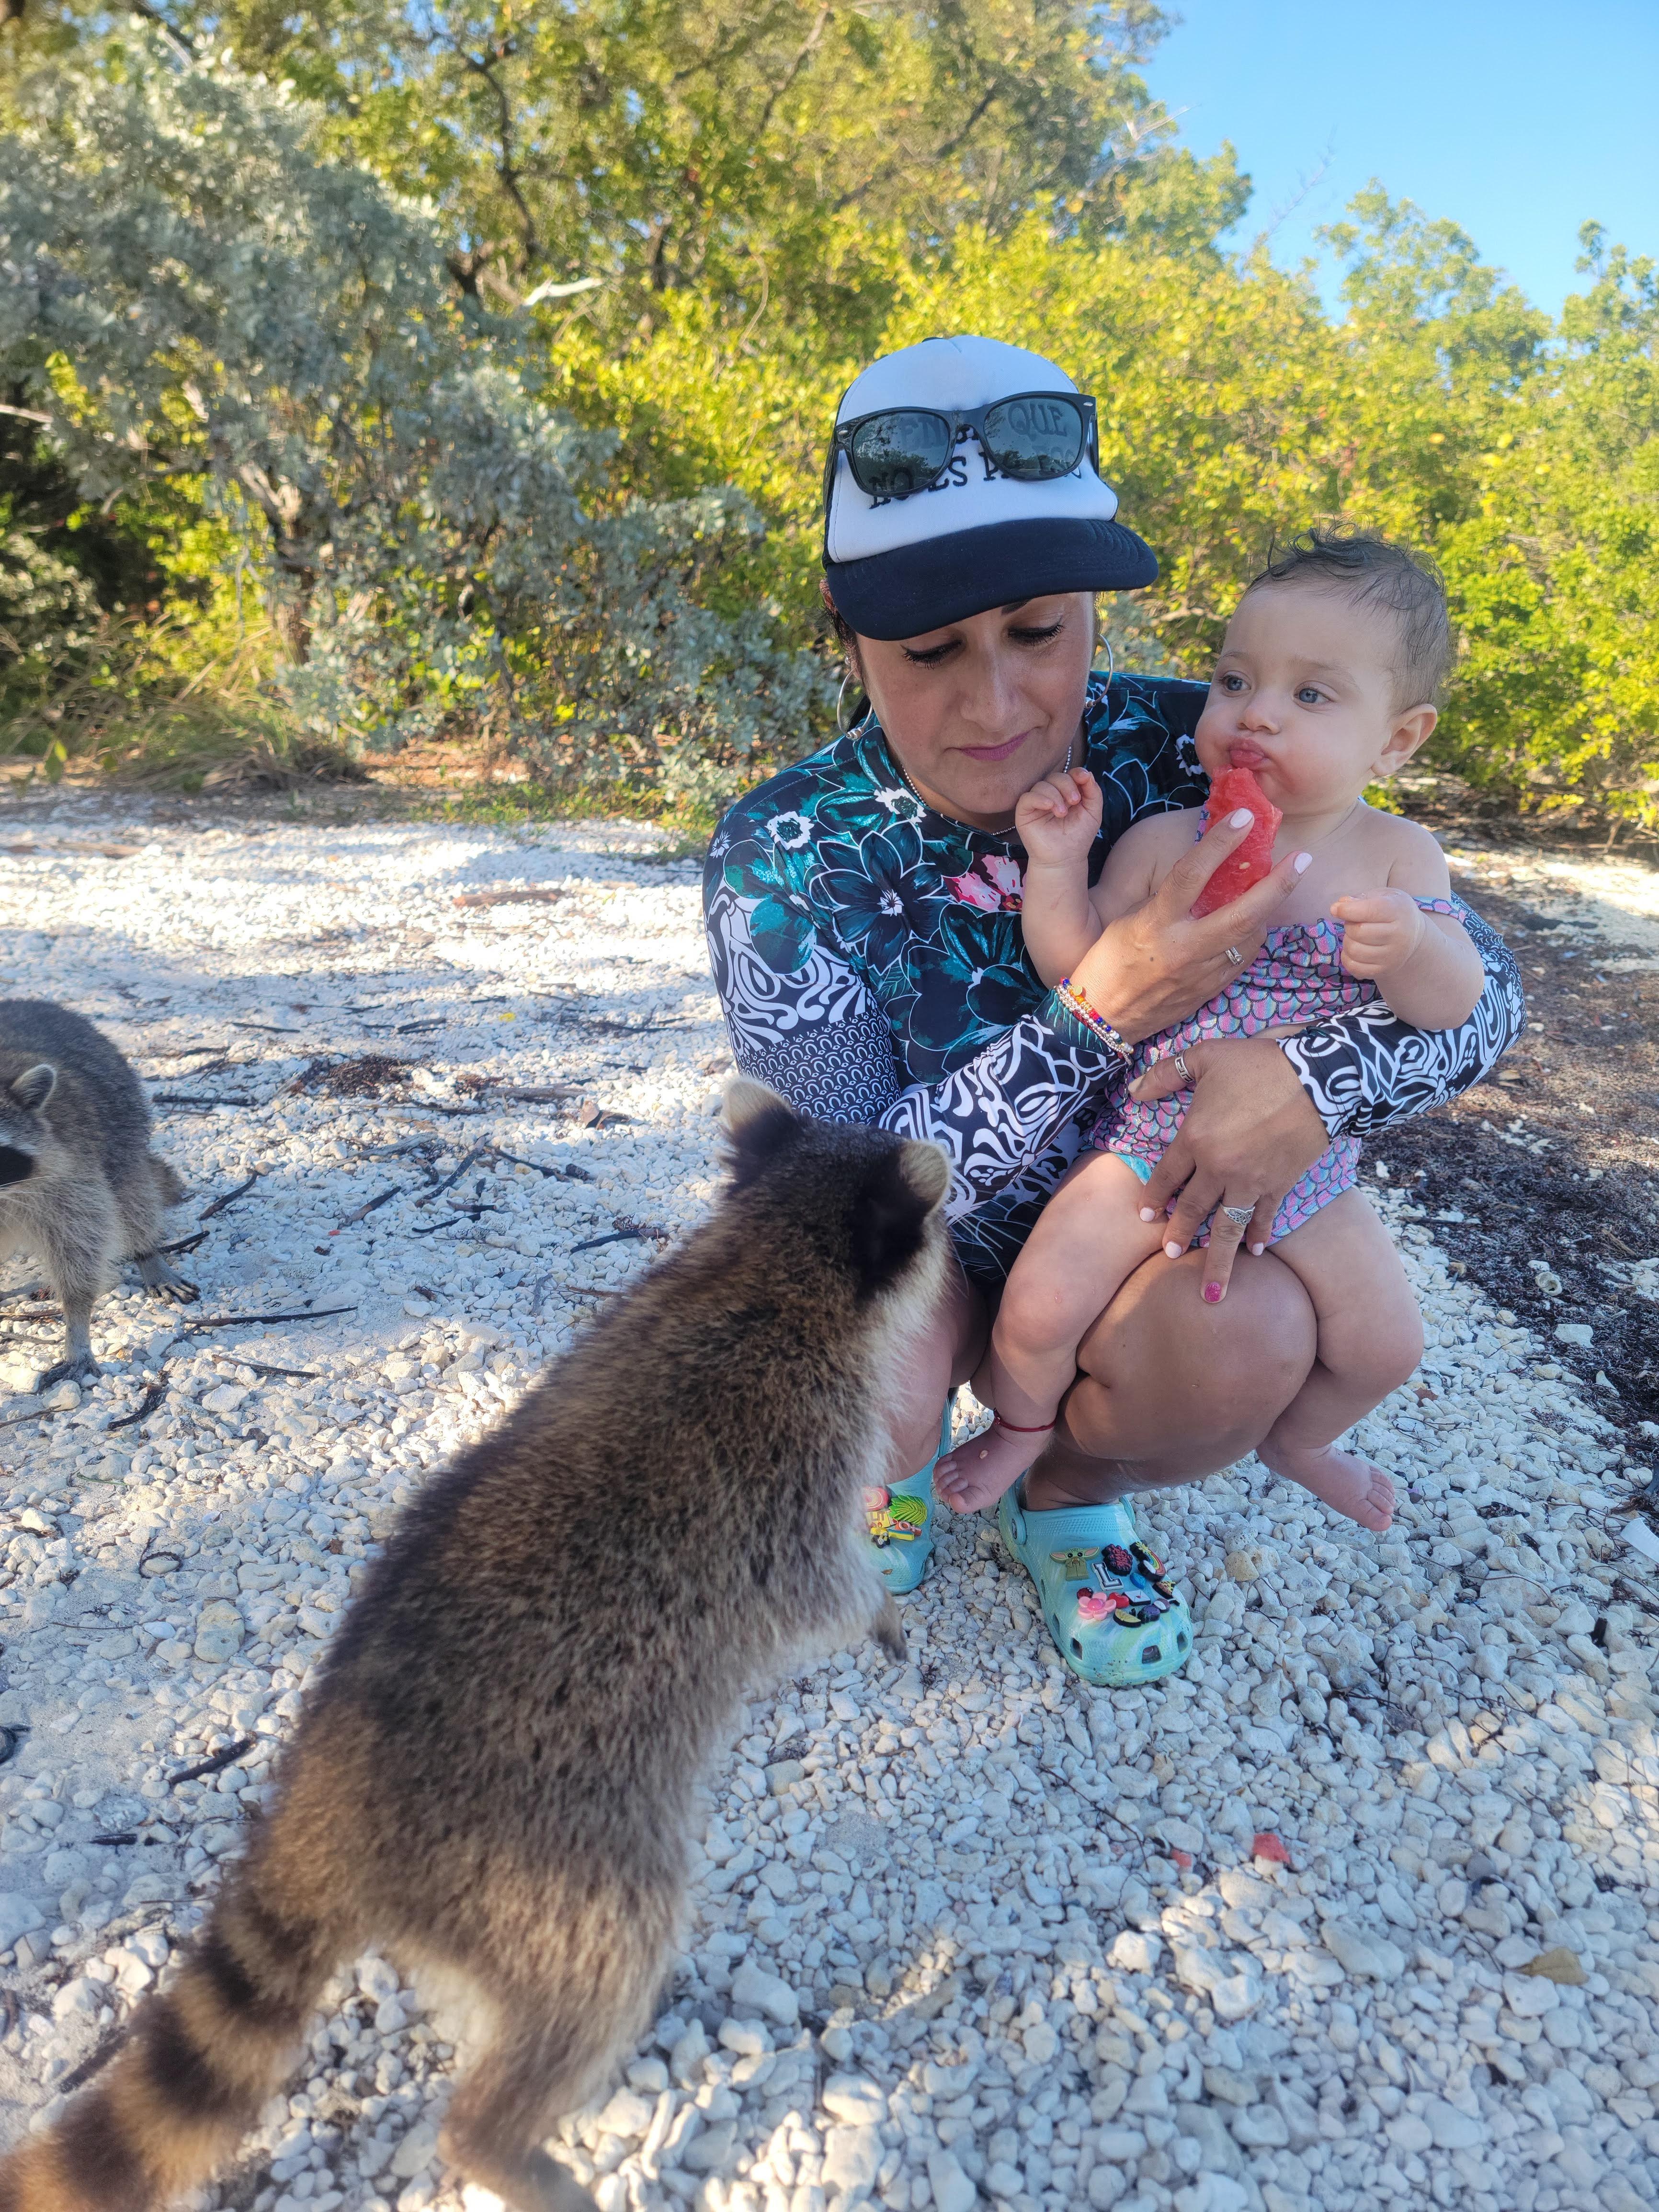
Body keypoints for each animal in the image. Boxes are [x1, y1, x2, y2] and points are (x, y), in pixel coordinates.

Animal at [0, 999, 197, 1391]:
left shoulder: (69, 1174)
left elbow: (79, 1248)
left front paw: (76, 1329)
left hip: (122, 1125)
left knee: (134, 1199)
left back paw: (149, 1255)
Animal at [0, 1082, 951, 2212]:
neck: (765, 1252)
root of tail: (327, 1796)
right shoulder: (795, 1457)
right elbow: (818, 1588)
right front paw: (878, 1614)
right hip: (549, 1860)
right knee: (597, 1963)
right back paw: (498, 2137)